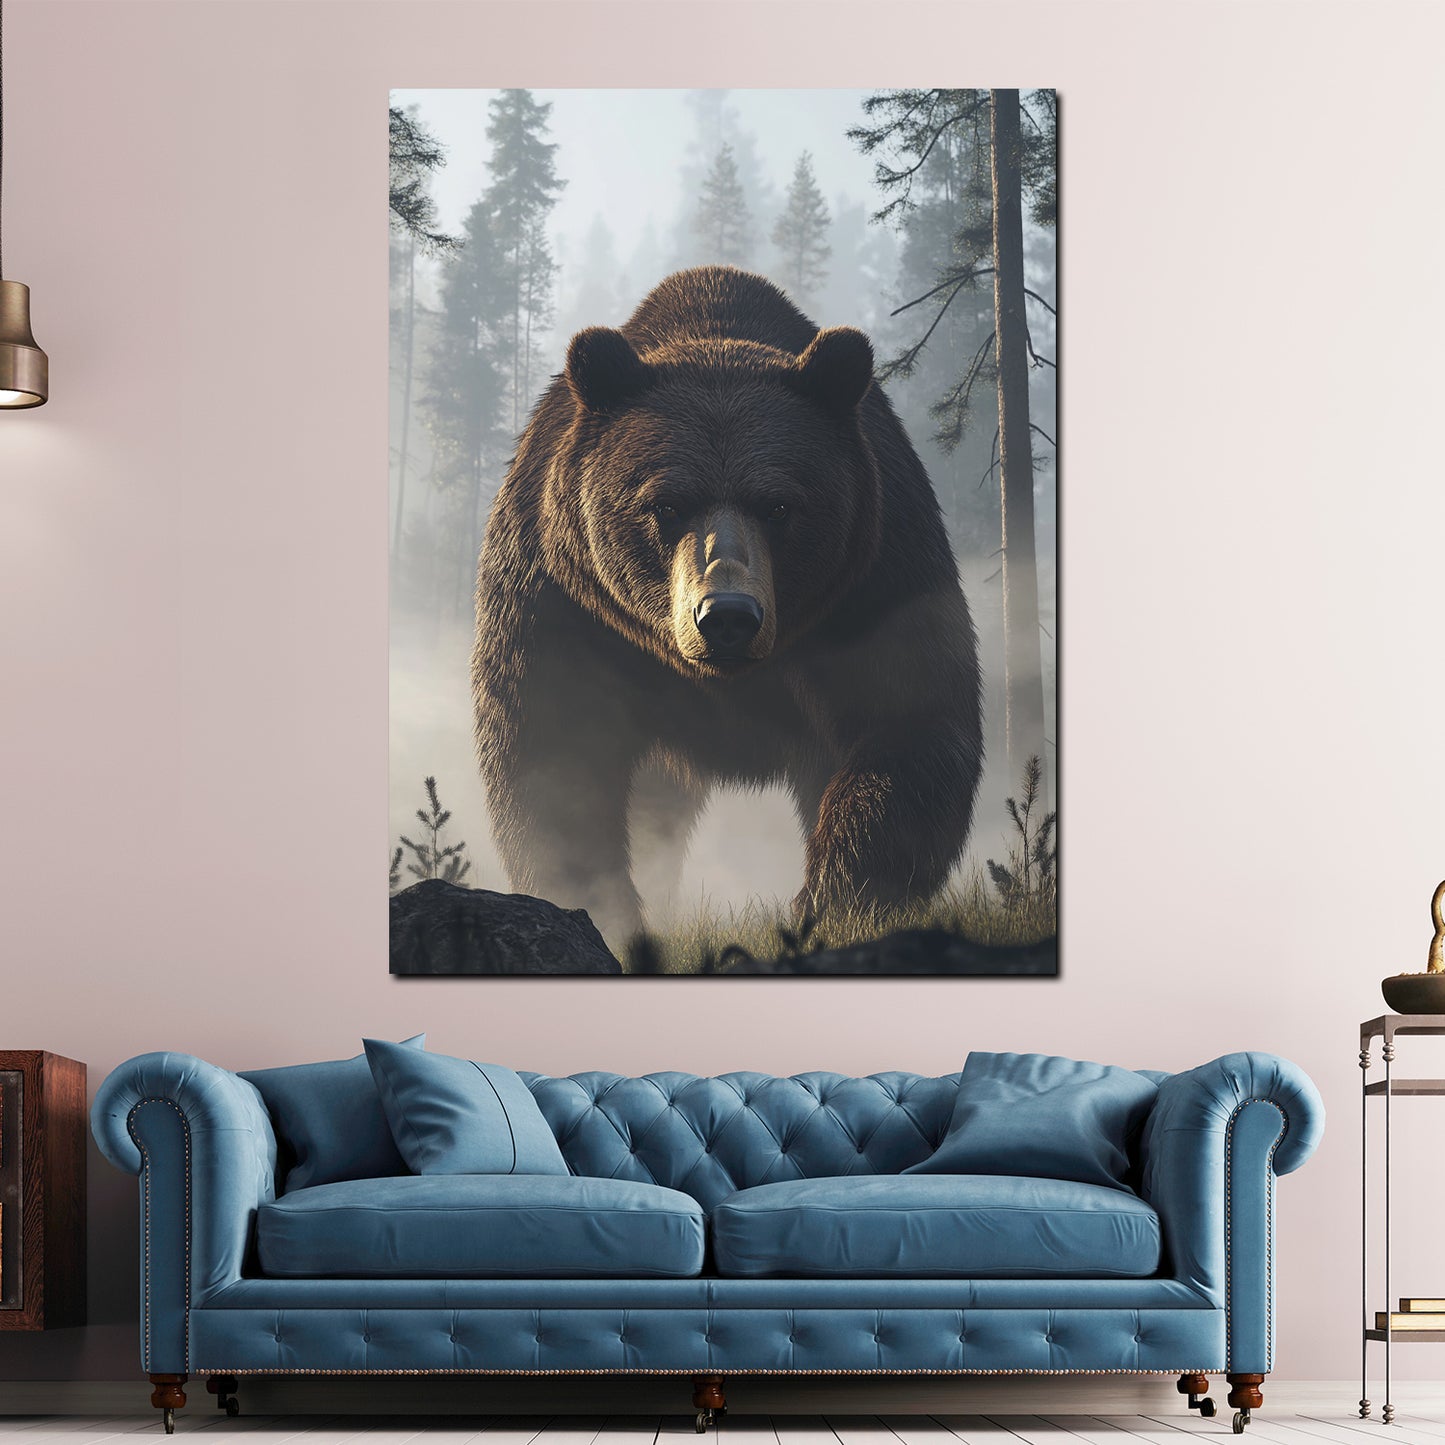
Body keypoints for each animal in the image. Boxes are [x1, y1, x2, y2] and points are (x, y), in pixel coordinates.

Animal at [472, 265, 983, 946]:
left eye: (780, 505)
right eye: (665, 504)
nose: (728, 617)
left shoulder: (877, 581)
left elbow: (907, 725)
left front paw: (830, 906)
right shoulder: (563, 600)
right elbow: (552, 748)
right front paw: (603, 911)